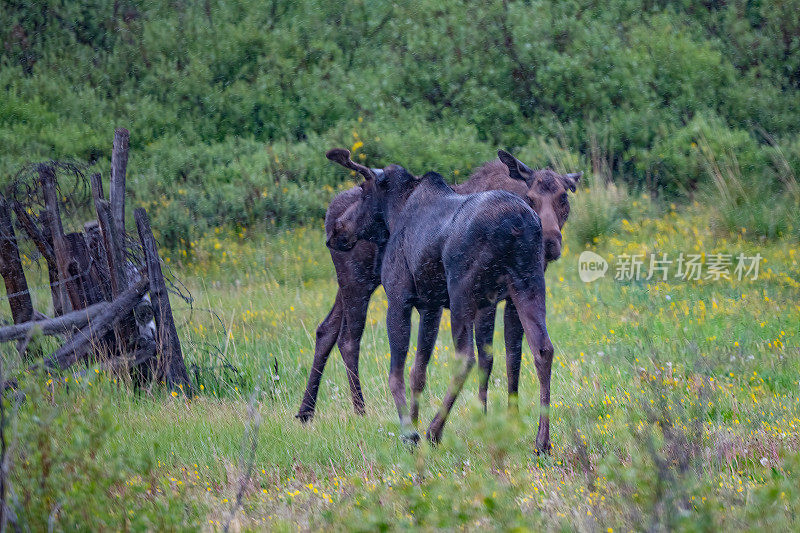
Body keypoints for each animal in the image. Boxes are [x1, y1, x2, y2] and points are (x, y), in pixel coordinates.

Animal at [294, 150, 580, 428]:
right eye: (531, 197)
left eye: (563, 198)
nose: (550, 242)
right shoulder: (479, 304)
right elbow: (490, 358)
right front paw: (486, 416)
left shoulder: (488, 301)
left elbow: (511, 356)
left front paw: (507, 417)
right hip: (360, 284)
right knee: (347, 338)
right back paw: (356, 412)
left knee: (330, 331)